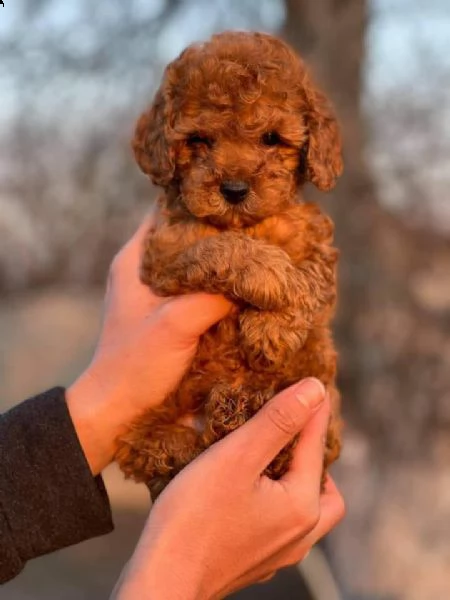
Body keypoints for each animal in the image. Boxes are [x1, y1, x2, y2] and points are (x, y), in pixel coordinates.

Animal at [114, 30, 342, 500]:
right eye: (199, 140)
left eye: (272, 138)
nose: (234, 189)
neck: (250, 223)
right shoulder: (166, 250)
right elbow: (225, 249)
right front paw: (275, 278)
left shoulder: (316, 240)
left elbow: (312, 277)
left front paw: (272, 328)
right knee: (152, 451)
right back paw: (227, 415)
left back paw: (246, 413)